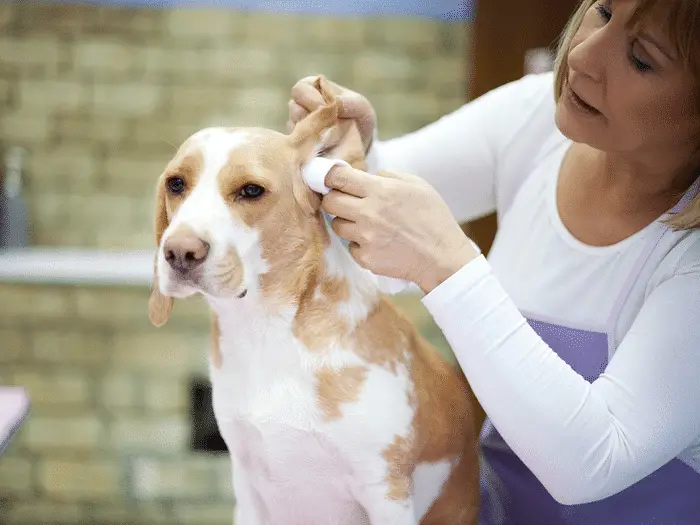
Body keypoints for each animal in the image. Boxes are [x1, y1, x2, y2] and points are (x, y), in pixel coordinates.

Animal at [148, 75, 484, 520]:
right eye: (176, 184)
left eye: (251, 190)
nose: (179, 253)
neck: (268, 332)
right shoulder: (248, 491)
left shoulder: (385, 491)